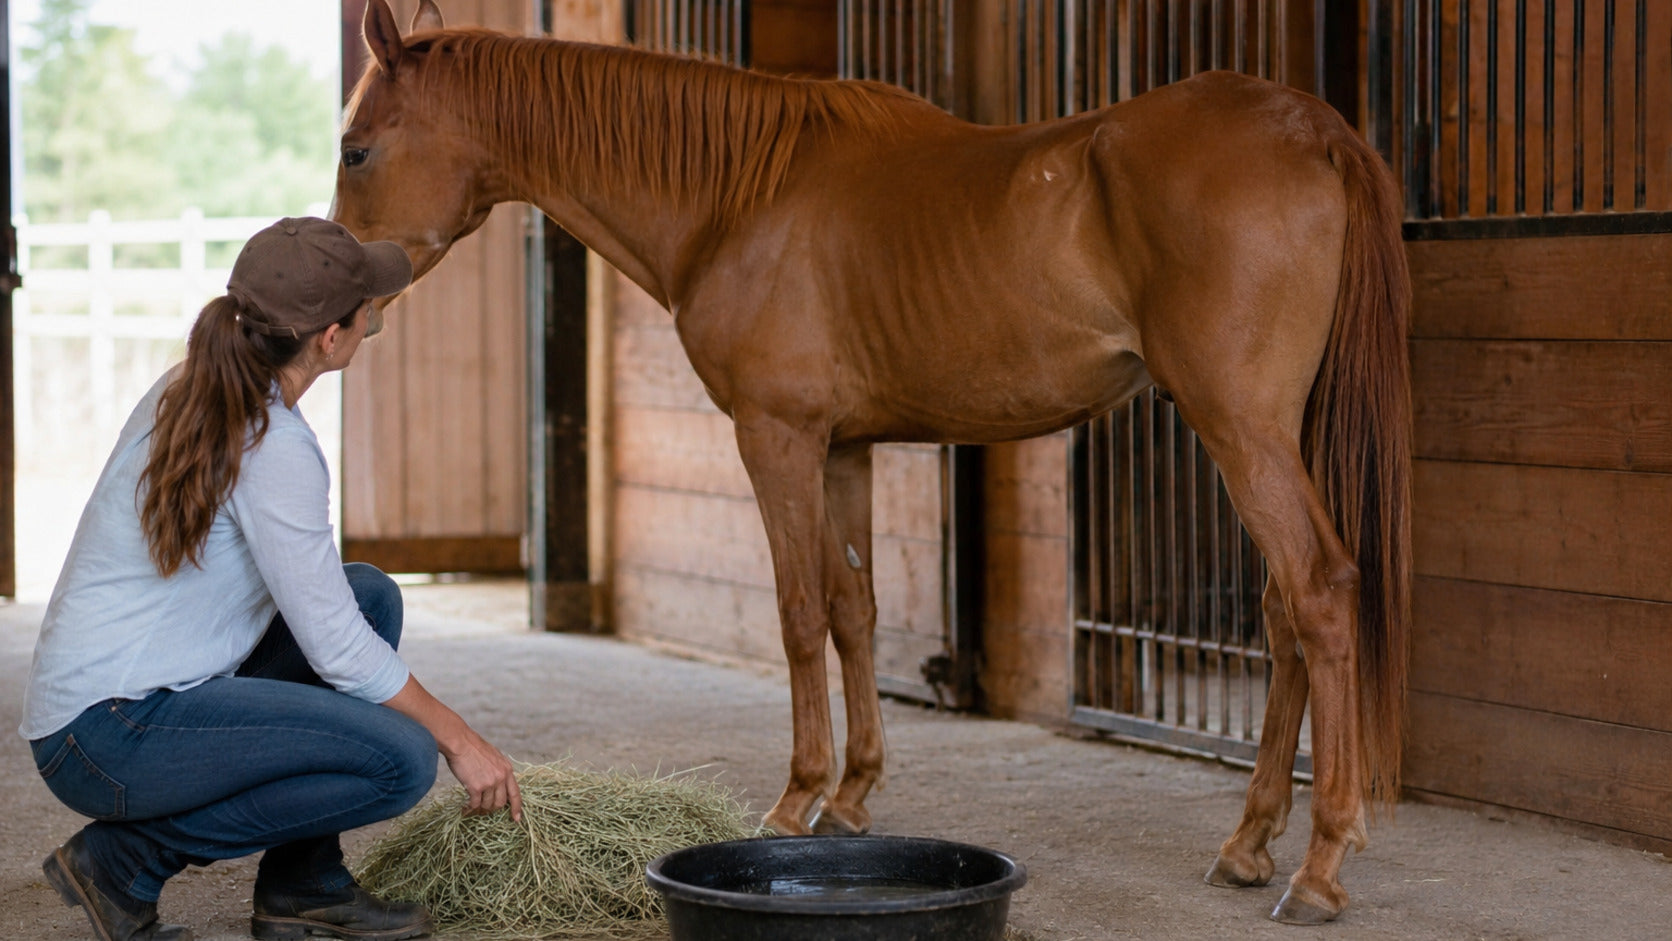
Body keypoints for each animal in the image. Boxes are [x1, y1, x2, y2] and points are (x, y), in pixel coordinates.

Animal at [332, 0, 1411, 924]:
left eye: (356, 147)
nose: (342, 291)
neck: (739, 195)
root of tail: (1313, 128)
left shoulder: (776, 437)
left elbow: (799, 611)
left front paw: (795, 797)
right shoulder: (844, 450)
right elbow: (854, 608)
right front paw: (851, 794)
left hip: (1242, 427)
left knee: (1319, 592)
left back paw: (1319, 865)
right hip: (1272, 430)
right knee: (1282, 612)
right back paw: (1249, 842)